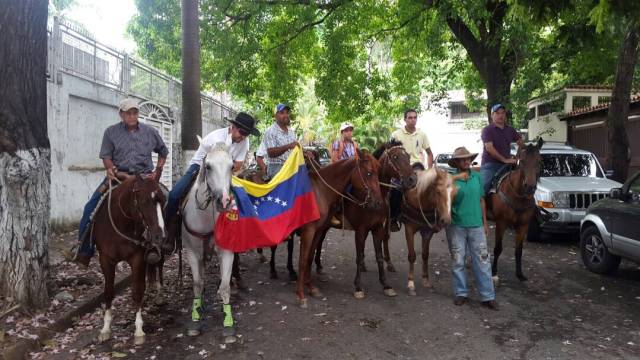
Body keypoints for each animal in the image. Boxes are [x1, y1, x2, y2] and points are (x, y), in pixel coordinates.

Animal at [90, 176, 166, 344]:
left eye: (163, 201)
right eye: (143, 201)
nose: (160, 236)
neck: (121, 223)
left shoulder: (137, 259)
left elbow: (137, 291)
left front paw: (138, 330)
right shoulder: (105, 260)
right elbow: (108, 291)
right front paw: (105, 328)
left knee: (158, 268)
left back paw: (159, 295)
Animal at [180, 141, 238, 344]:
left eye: (232, 166)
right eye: (208, 166)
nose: (224, 202)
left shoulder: (227, 251)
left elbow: (225, 286)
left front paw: (228, 324)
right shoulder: (192, 252)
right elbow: (197, 284)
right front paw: (195, 319)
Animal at [296, 151, 384, 306]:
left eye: (378, 173)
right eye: (368, 173)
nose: (378, 203)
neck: (319, 191)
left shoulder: (317, 231)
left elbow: (309, 257)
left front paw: (311, 287)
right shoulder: (308, 231)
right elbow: (302, 260)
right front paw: (301, 295)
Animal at [492, 139, 544, 282]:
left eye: (539, 161)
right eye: (522, 161)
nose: (530, 187)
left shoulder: (523, 226)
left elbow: (519, 250)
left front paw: (520, 274)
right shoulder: (501, 223)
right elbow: (498, 248)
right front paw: (493, 273)